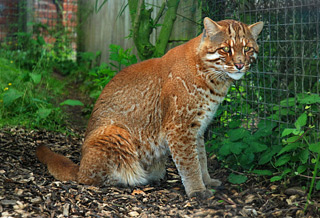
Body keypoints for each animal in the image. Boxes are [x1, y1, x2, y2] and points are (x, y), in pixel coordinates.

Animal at [37, 17, 262, 198]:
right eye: (226, 49)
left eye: (248, 49)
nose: (240, 65)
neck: (215, 77)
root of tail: (79, 166)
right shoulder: (179, 127)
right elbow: (189, 162)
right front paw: (197, 190)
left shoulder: (197, 128)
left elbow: (201, 157)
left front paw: (207, 181)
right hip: (115, 133)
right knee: (86, 178)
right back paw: (131, 178)